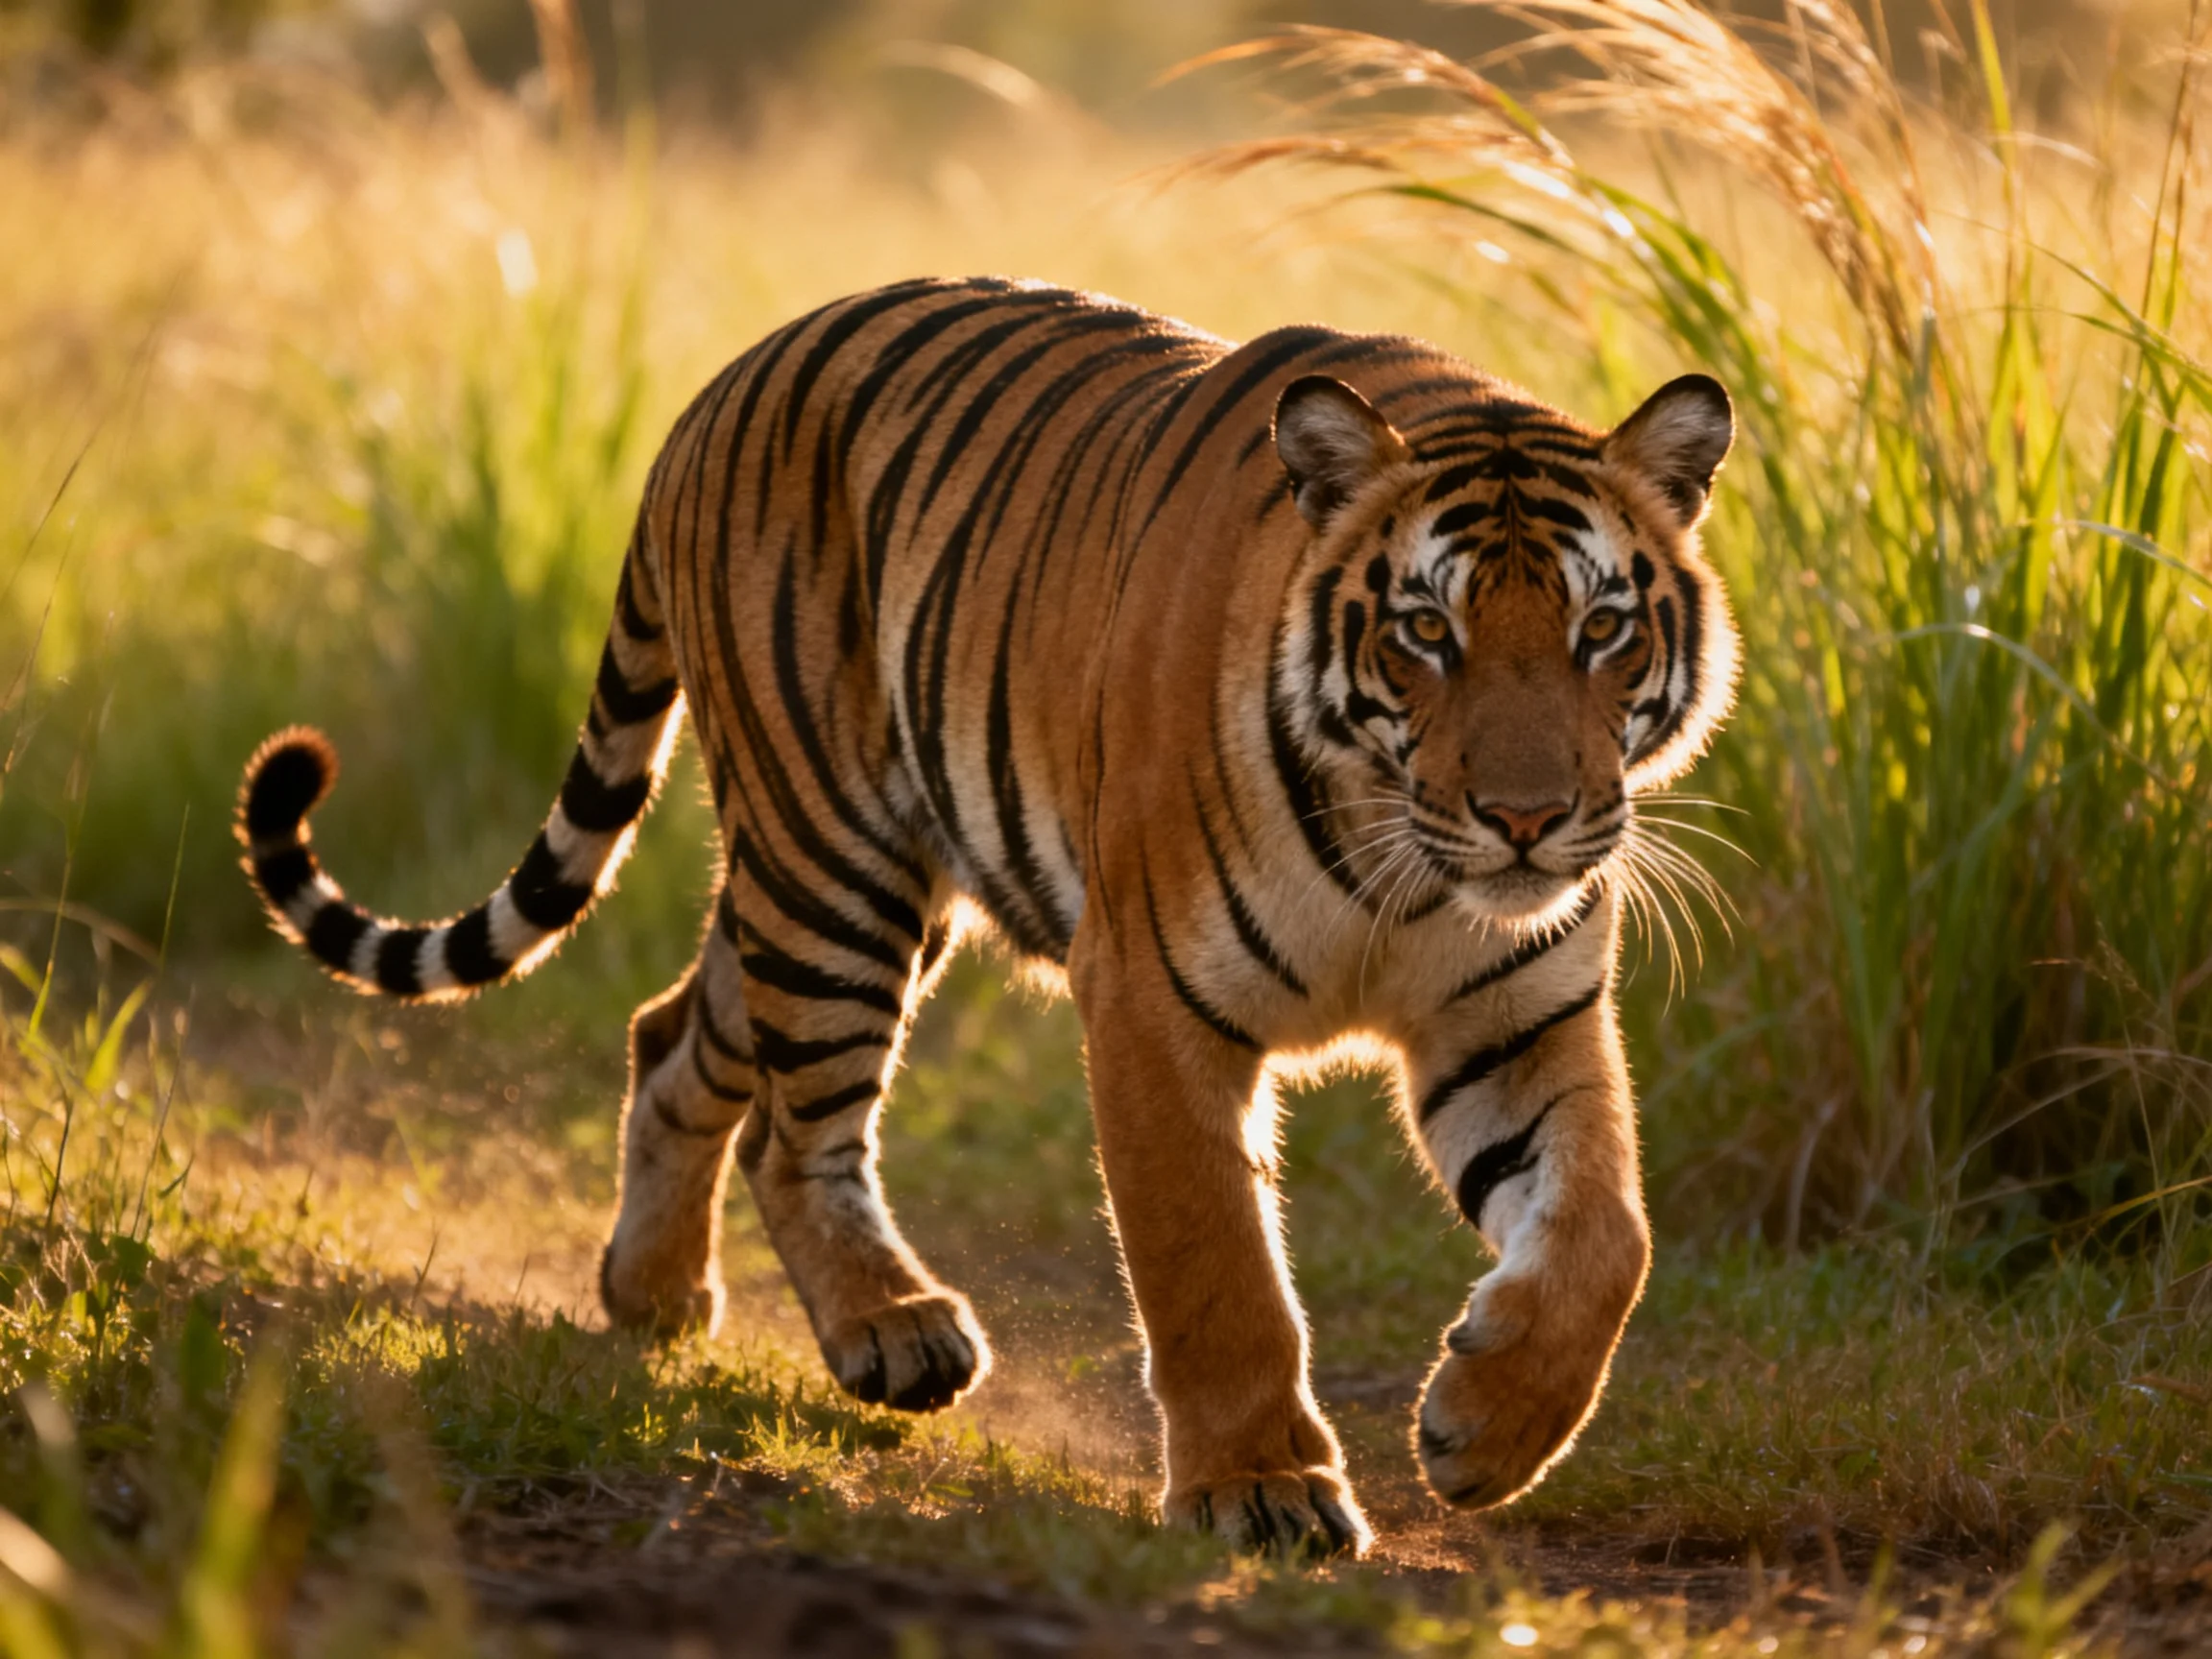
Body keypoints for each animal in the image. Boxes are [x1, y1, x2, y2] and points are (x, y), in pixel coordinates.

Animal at [238, 275, 1736, 1557]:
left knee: (678, 1037)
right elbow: (1214, 1267)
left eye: (1603, 631)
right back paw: (893, 1332)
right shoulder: (1151, 997)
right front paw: (1258, 1493)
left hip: (828, 884)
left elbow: (1608, 1233)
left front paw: (1488, 1430)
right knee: (799, 1132)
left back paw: (653, 1300)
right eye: (1428, 631)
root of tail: (716, 386)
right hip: (834, 862)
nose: (1528, 818)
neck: (1405, 870)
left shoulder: (1517, 1015)